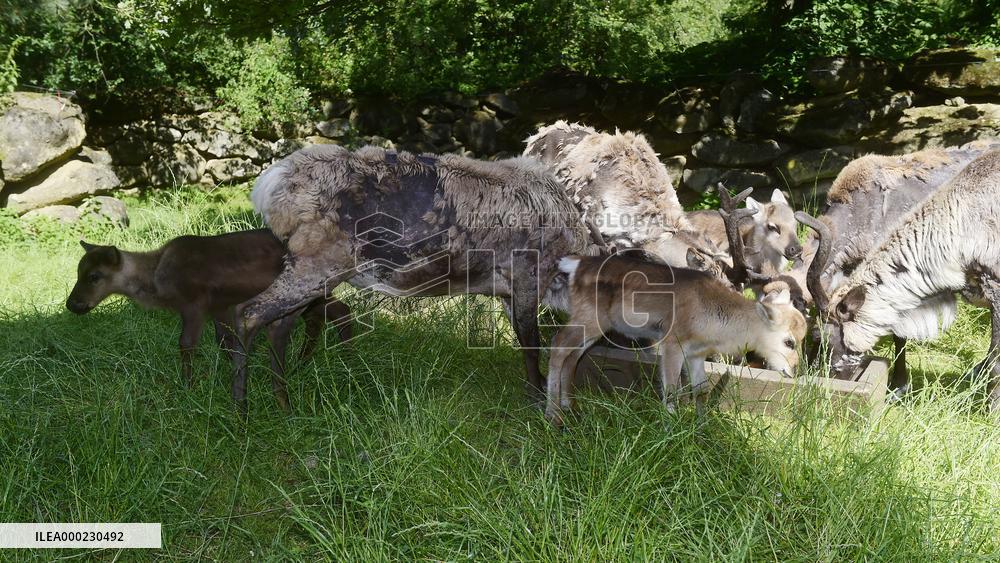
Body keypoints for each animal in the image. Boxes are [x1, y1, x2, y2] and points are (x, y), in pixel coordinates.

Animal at [66, 230, 353, 412]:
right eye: (78, 272)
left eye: (94, 276)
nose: (72, 304)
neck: (156, 280)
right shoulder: (220, 308)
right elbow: (224, 341)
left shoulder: (195, 305)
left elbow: (186, 343)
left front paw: (188, 387)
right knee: (327, 314)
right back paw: (311, 360)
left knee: (340, 310)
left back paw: (344, 359)